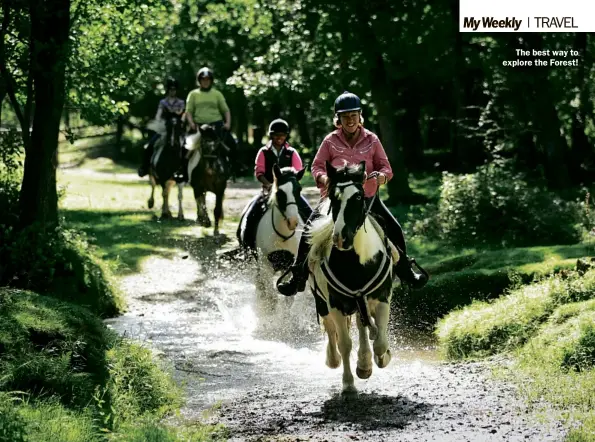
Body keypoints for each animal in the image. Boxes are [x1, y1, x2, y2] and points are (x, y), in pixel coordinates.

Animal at [254, 165, 304, 314]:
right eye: (280, 192)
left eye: (299, 190)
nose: (293, 222)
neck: (282, 236)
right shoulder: (265, 266)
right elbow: (272, 299)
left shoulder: (288, 266)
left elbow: (287, 300)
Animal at [308, 161, 400, 394]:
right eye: (333, 197)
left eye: (358, 196)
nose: (341, 237)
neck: (357, 263)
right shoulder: (336, 304)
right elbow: (345, 343)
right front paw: (348, 383)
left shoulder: (382, 298)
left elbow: (380, 342)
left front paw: (382, 358)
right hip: (322, 301)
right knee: (333, 331)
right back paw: (337, 360)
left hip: (361, 302)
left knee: (362, 325)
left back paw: (366, 363)